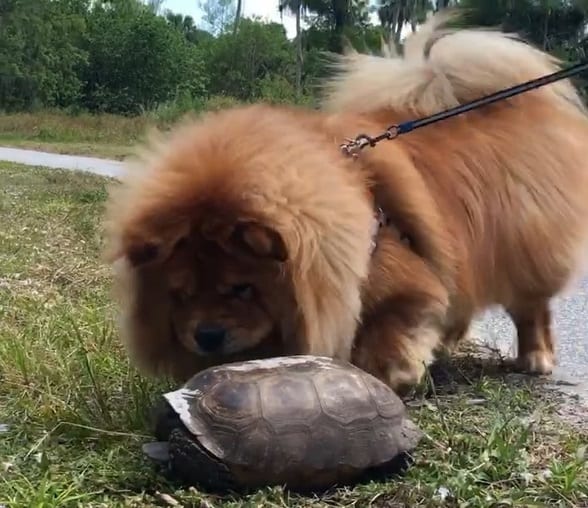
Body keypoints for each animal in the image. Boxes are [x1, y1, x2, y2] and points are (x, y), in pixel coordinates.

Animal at [103, 11, 588, 392]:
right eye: (180, 294)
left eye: (242, 288)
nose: (206, 334)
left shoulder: (405, 286)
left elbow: (387, 334)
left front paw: (391, 375)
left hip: (520, 253)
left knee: (531, 308)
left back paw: (535, 360)